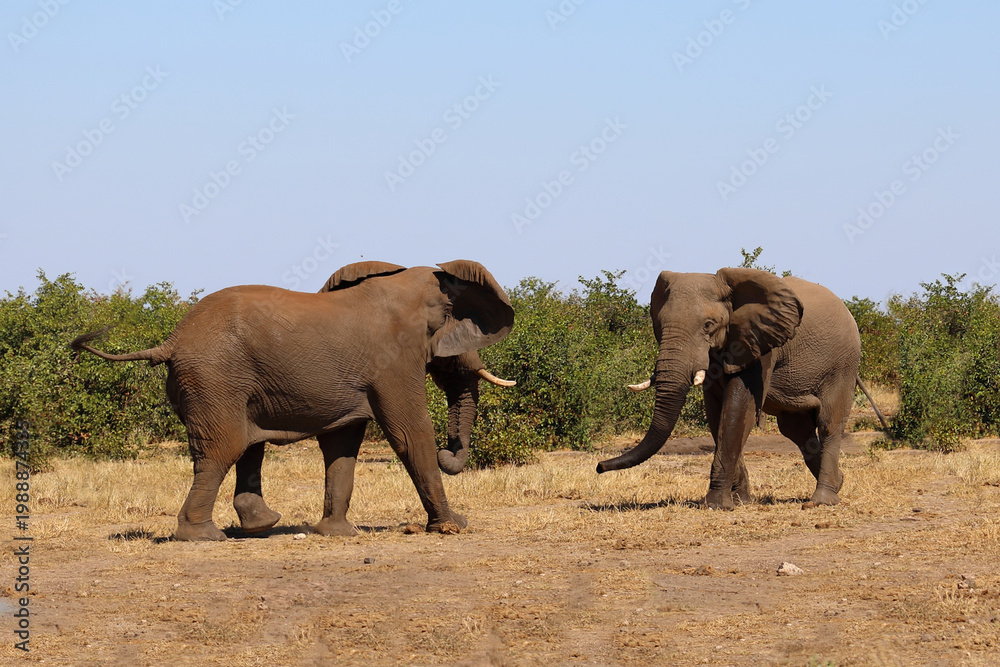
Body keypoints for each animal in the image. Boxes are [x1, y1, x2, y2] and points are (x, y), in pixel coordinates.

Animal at [71, 260, 515, 541]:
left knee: (245, 444)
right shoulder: (394, 360)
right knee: (223, 448)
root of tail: (171, 340)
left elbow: (342, 443)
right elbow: (410, 432)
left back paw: (260, 525)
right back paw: (203, 536)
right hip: (214, 378)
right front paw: (452, 527)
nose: (450, 452)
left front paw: (337, 534)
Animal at [597, 268, 887, 509]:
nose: (599, 466)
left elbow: (738, 407)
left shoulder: (760, 342)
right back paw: (839, 482)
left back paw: (821, 500)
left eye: (708, 325)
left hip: (843, 364)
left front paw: (716, 505)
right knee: (795, 429)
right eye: (659, 324)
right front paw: (740, 501)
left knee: (828, 423)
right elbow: (717, 414)